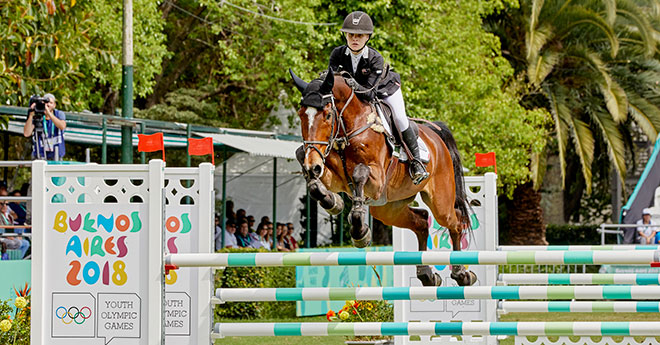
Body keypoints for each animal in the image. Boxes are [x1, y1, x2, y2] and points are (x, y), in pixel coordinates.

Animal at [288, 68, 474, 286]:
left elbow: (359, 173)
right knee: (421, 221)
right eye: (301, 115)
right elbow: (306, 164)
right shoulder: (336, 177)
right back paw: (426, 274)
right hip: (389, 209)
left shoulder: (376, 180)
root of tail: (436, 136)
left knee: (456, 221)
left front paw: (359, 231)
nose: (313, 166)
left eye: (327, 115)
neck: (348, 127)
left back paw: (462, 273)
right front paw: (333, 202)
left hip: (440, 203)